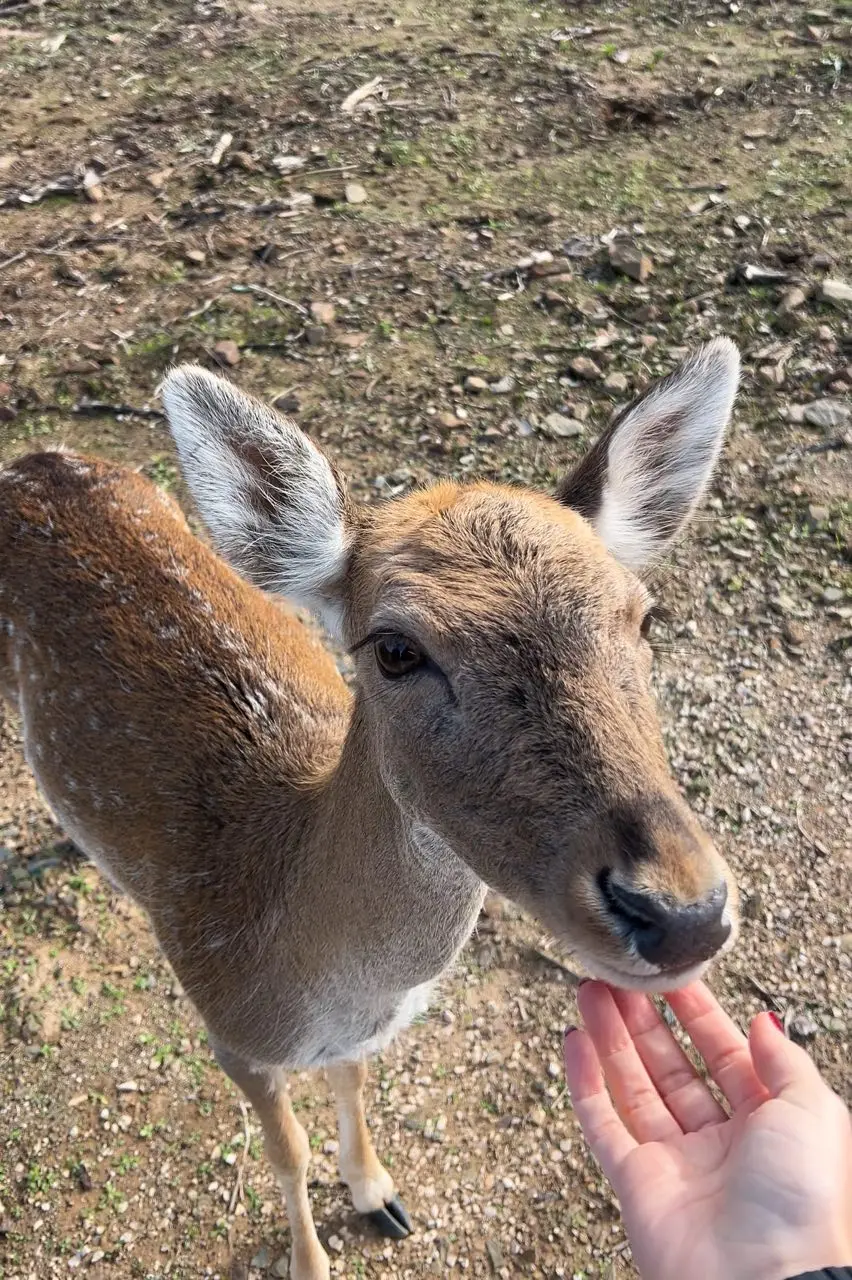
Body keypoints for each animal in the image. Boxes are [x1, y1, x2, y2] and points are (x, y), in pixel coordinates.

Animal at [0, 338, 740, 1279]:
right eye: (394, 649)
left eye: (645, 617)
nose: (680, 910)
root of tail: (33, 458)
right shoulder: (228, 1033)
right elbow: (286, 1151)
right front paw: (310, 1260)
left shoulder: (350, 1040)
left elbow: (351, 1084)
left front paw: (377, 1192)